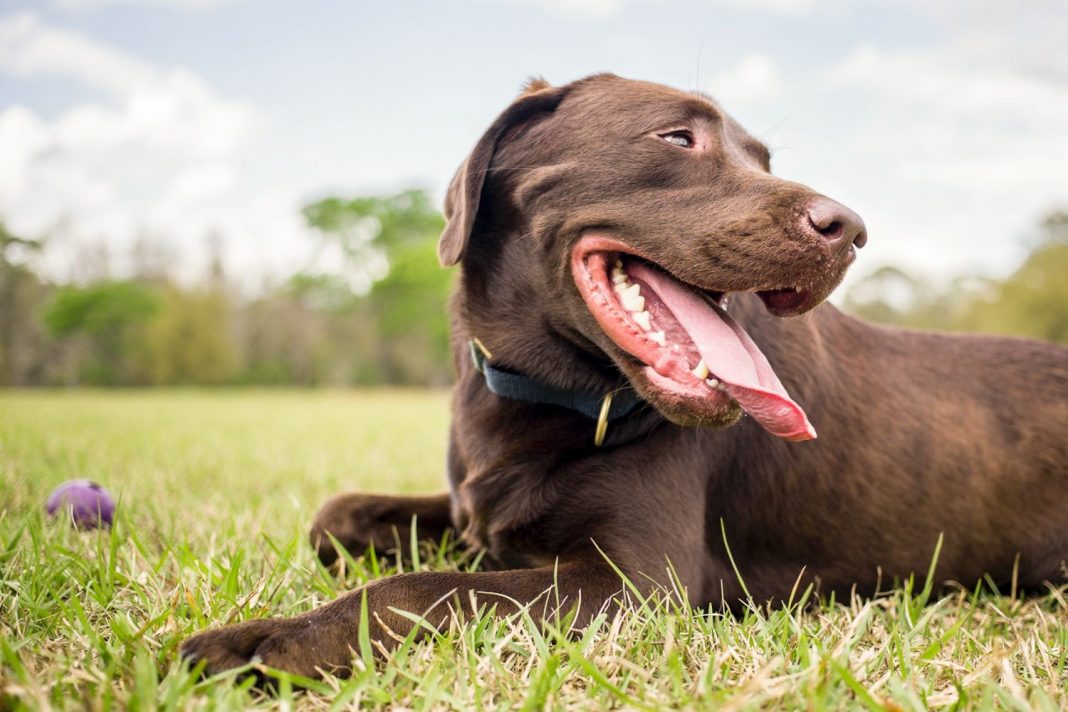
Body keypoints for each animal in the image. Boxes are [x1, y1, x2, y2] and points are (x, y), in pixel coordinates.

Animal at [181, 73, 1068, 678]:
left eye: (763, 158)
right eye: (676, 139)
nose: (849, 230)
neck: (549, 391)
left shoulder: (635, 584)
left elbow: (420, 590)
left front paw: (263, 642)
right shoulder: (478, 512)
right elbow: (337, 515)